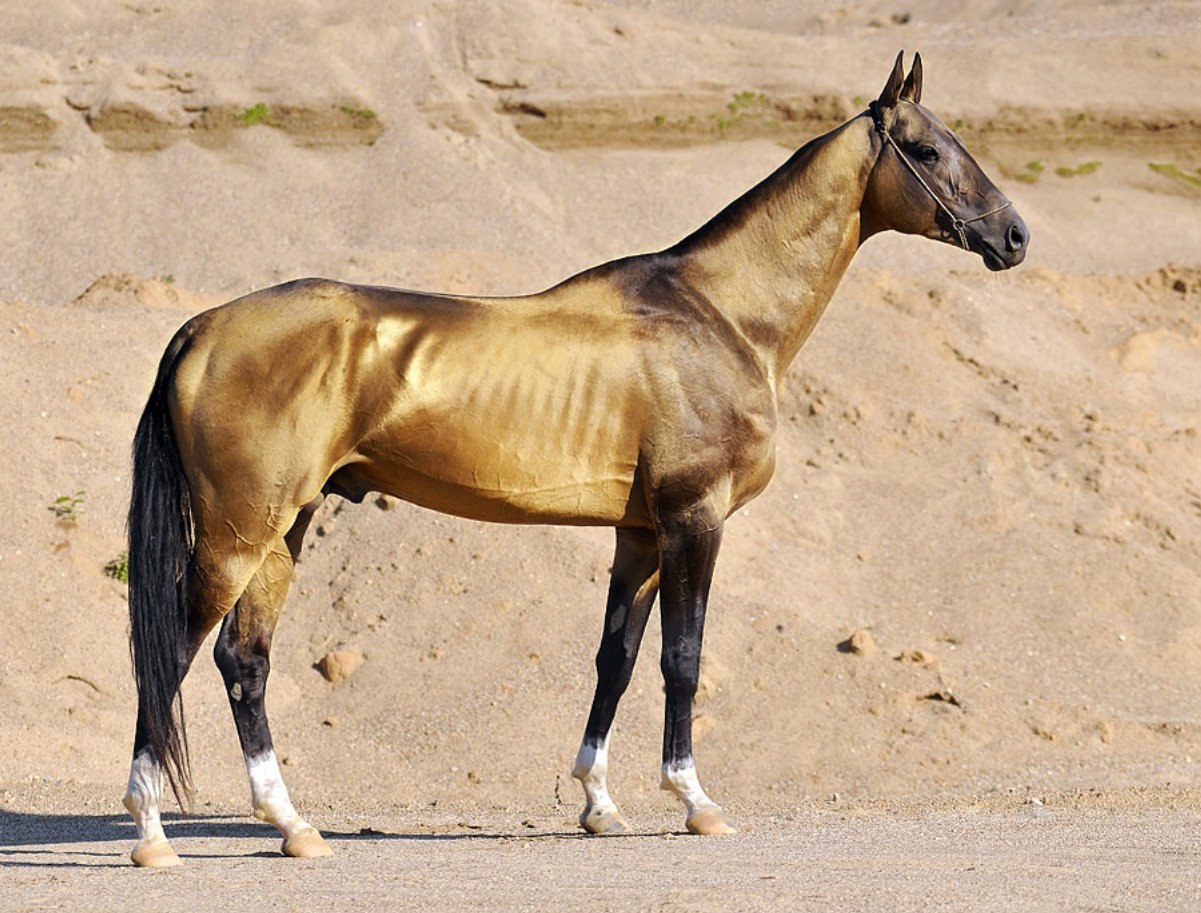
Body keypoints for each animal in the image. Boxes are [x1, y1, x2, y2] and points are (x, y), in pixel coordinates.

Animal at [121, 53, 1028, 864]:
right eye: (929, 150)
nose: (1013, 235)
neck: (719, 315)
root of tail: (202, 327)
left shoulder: (640, 534)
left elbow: (615, 660)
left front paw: (598, 803)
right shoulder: (693, 519)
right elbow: (681, 659)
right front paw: (694, 801)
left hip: (285, 527)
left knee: (244, 658)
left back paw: (293, 826)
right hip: (239, 533)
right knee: (173, 652)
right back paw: (152, 833)